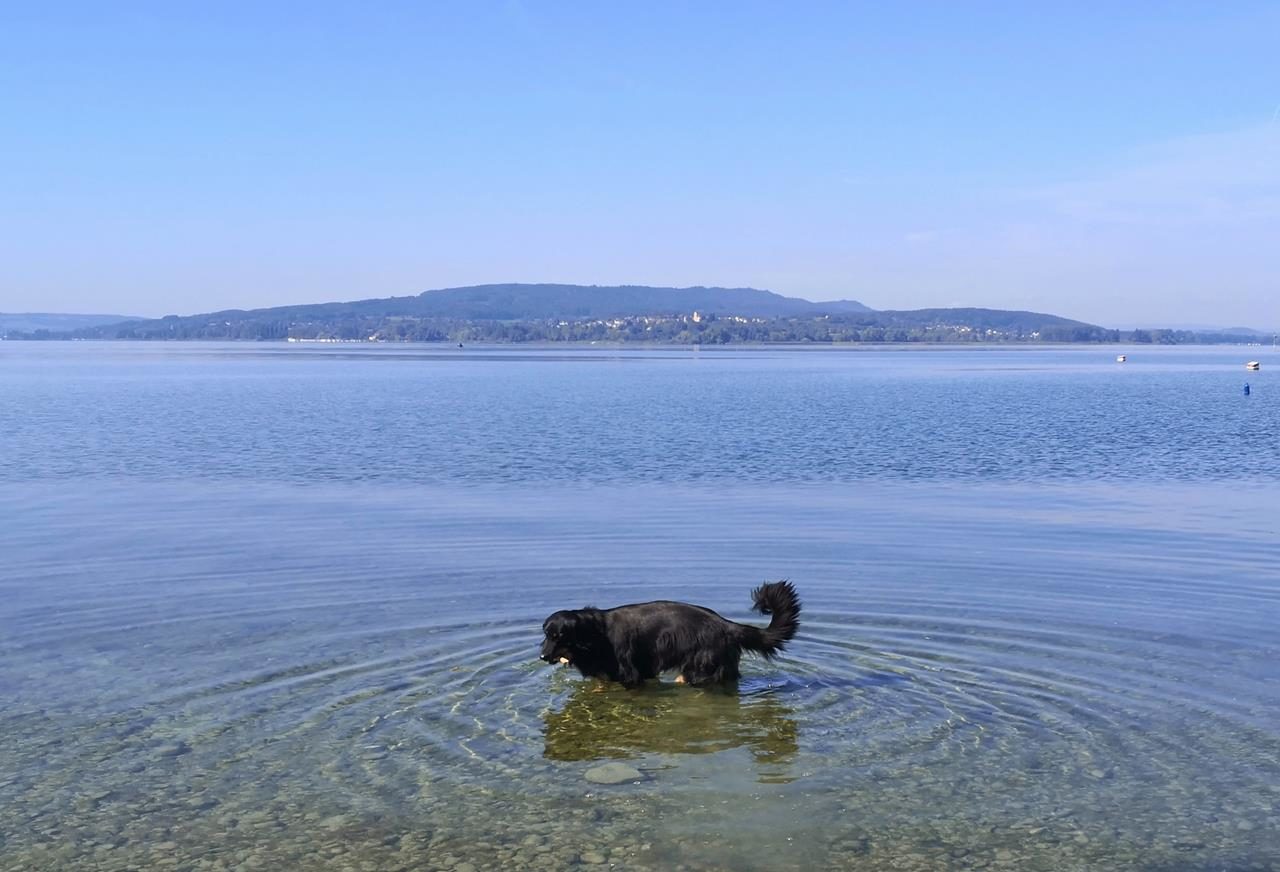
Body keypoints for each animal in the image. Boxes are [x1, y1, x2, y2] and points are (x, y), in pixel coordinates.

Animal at [540, 578, 798, 686]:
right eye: (545, 634)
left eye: (558, 636)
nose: (542, 656)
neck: (595, 634)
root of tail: (727, 625)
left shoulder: (630, 674)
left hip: (698, 668)